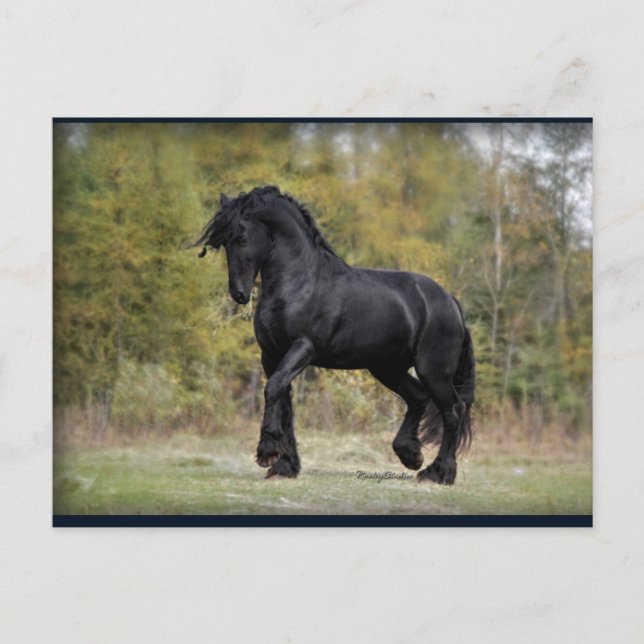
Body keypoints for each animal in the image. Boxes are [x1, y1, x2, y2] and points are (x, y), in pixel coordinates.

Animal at [193, 186, 475, 484]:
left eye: (243, 238)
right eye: (225, 243)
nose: (239, 293)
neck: (300, 283)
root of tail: (450, 302)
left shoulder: (303, 348)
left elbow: (273, 389)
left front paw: (267, 452)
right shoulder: (271, 355)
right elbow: (284, 404)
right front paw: (285, 466)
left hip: (433, 371)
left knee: (453, 410)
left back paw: (439, 472)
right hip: (387, 368)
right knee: (419, 398)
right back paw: (411, 455)